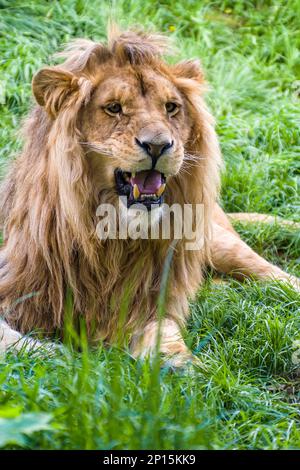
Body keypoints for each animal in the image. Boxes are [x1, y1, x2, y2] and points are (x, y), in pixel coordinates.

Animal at [0, 28, 298, 368]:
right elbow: (7, 337)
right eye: (114, 108)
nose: (158, 145)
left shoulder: (150, 297)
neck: (112, 239)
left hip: (222, 245)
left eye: (170, 107)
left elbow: (163, 331)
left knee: (278, 277)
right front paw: (50, 352)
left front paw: (182, 366)